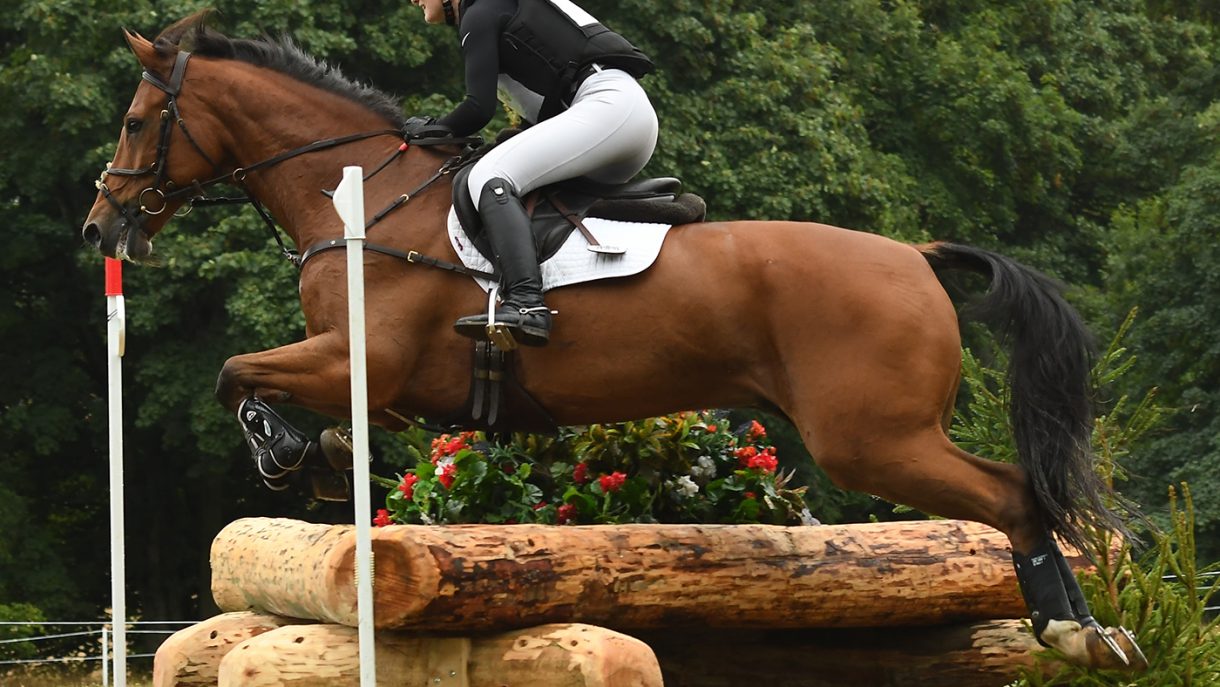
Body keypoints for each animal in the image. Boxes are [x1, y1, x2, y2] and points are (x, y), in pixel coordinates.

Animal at [82, 12, 1145, 671]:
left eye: (135, 120)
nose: (102, 227)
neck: (361, 202)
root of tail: (916, 257)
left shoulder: (362, 363)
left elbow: (236, 373)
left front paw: (289, 452)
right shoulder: (378, 383)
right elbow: (265, 383)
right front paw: (320, 450)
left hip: (869, 439)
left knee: (1010, 495)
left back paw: (1073, 633)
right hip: (884, 435)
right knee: (1016, 493)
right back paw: (1090, 635)